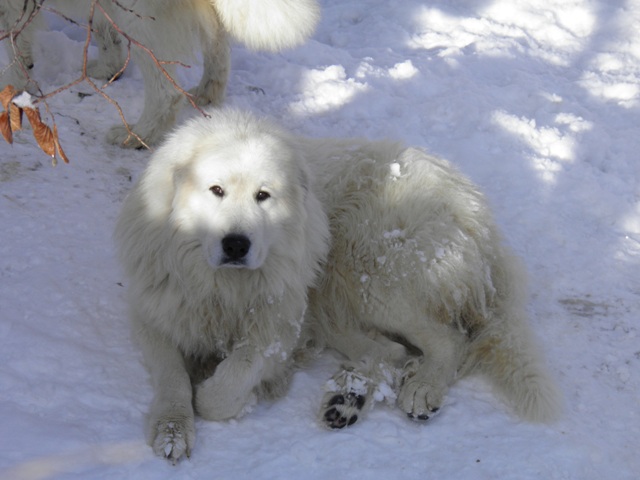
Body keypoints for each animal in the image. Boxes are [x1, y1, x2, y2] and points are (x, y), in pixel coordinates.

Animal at [0, 0, 320, 147]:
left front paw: (12, 92)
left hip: (141, 18)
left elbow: (13, 46)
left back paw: (138, 136)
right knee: (218, 44)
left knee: (166, 93)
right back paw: (206, 93)